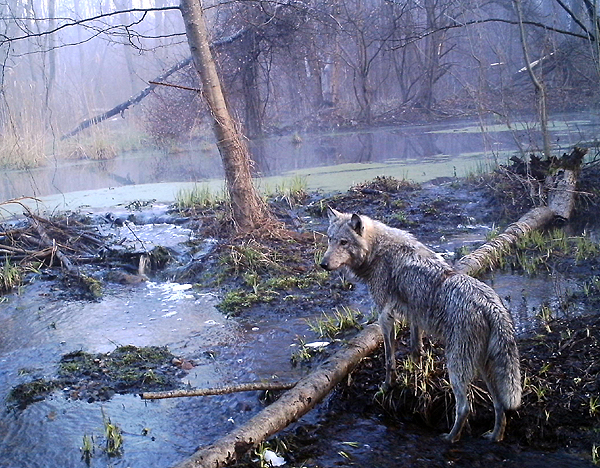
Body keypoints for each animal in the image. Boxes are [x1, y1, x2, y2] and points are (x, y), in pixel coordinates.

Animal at [318, 208, 520, 442]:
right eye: (330, 240)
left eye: (343, 242)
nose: (323, 264)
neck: (377, 251)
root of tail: (491, 306)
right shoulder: (414, 316)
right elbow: (416, 350)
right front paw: (415, 379)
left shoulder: (385, 317)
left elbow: (389, 360)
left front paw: (387, 387)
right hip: (483, 367)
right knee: (500, 405)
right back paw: (494, 437)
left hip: (457, 368)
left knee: (464, 408)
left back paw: (450, 438)